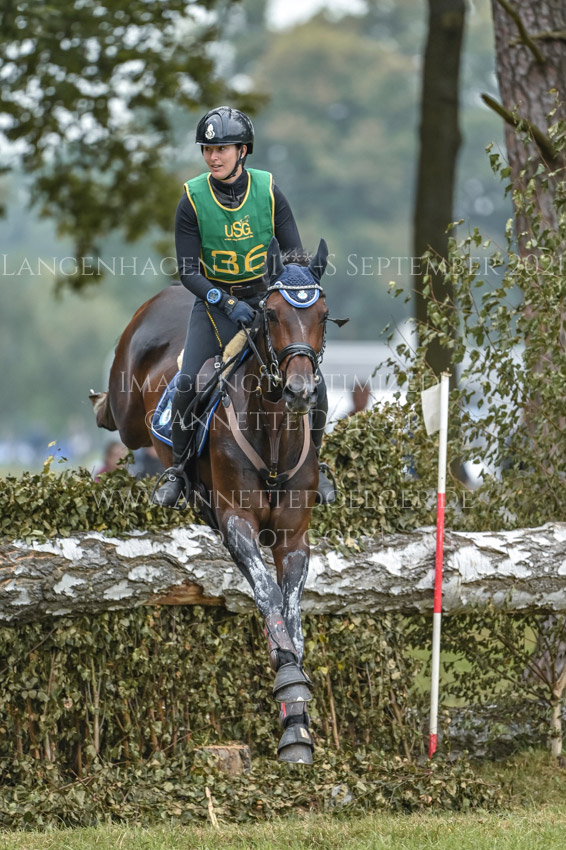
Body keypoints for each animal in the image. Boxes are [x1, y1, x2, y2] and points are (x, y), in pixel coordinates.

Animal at [90, 237, 343, 764]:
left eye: (323, 314)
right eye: (270, 313)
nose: (299, 391)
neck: (274, 431)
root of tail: (166, 294)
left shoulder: (293, 538)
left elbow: (290, 613)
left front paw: (297, 728)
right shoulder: (236, 523)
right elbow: (267, 597)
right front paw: (290, 681)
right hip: (130, 406)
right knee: (118, 418)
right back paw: (103, 405)